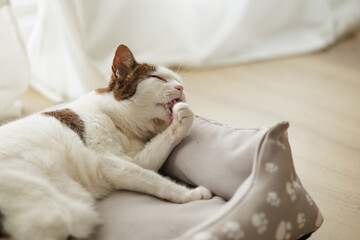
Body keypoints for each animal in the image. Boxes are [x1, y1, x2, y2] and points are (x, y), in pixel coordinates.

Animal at [0, 45, 212, 240]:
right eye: (158, 78)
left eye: (179, 81)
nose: (181, 88)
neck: (120, 125)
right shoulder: (110, 163)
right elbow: (156, 180)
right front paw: (192, 195)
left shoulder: (137, 159)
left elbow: (152, 159)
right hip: (55, 214)